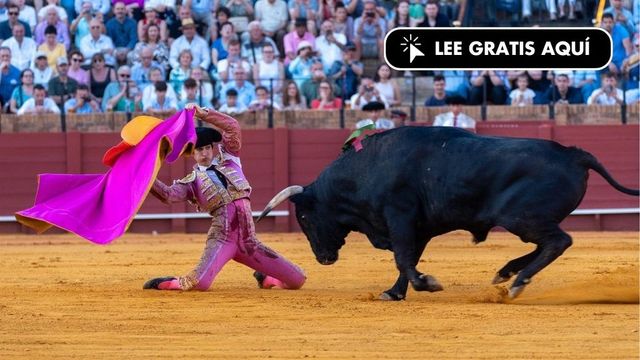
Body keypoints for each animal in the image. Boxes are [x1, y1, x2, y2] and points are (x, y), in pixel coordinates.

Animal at [256, 127, 640, 300]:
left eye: (304, 218)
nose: (323, 258)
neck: (366, 169)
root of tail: (574, 153)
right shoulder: (419, 228)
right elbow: (407, 258)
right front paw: (395, 292)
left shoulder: (400, 217)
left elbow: (403, 258)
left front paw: (426, 284)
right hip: (527, 220)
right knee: (549, 244)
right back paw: (506, 273)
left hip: (522, 218)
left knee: (559, 241)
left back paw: (517, 282)